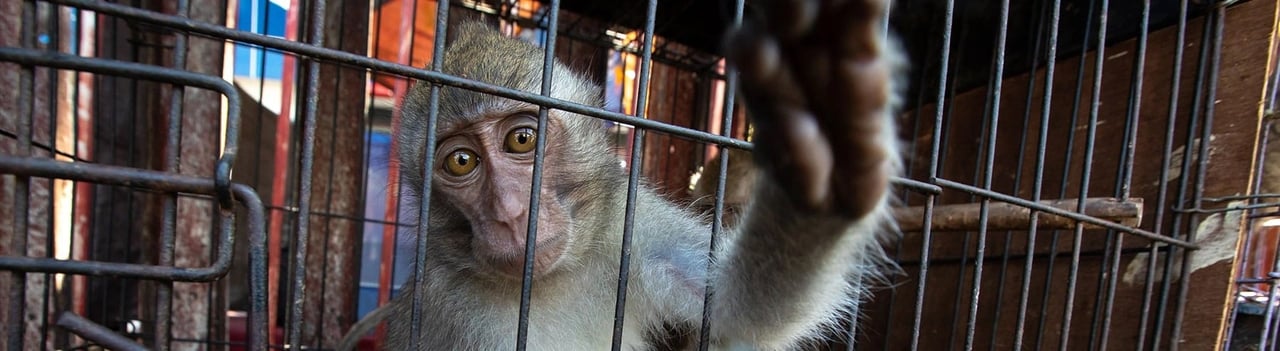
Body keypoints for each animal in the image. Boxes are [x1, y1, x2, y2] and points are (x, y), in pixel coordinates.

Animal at [335, 0, 906, 348]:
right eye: (461, 161)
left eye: (521, 140)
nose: (509, 214)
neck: (548, 282)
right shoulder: (441, 304)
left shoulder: (632, 234)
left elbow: (737, 308)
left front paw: (832, 157)